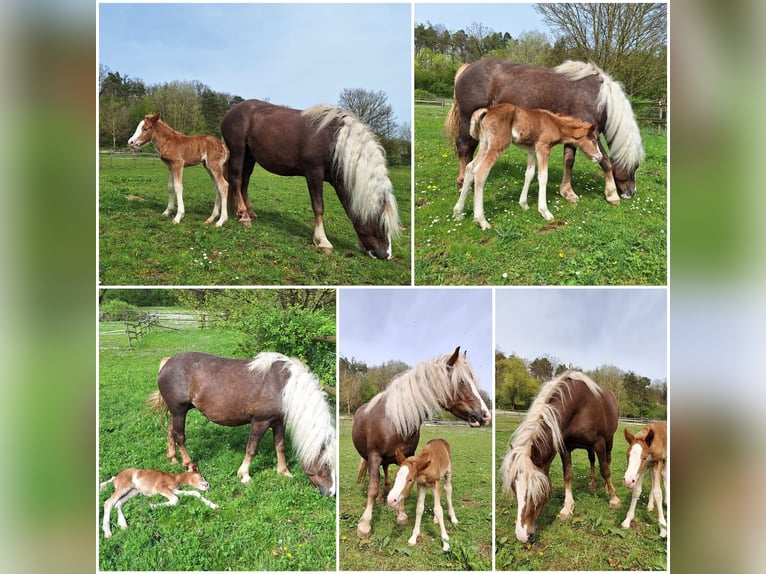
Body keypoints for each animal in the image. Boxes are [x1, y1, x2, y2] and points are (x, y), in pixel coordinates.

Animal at [148, 354, 338, 498]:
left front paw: (284, 472)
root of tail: (167, 362)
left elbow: (280, 446)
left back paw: (172, 458)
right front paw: (244, 475)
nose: (331, 493)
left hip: (178, 411)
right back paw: (187, 463)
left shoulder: (279, 421)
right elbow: (252, 448)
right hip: (179, 410)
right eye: (325, 466)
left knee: (171, 431)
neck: (283, 386)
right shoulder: (260, 422)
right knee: (180, 436)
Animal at [220, 100, 402, 260]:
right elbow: (318, 206)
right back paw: (244, 215)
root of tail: (231, 111)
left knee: (244, 183)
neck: (334, 141)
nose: (386, 255)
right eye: (381, 224)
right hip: (238, 152)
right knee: (236, 180)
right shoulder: (314, 173)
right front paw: (322, 241)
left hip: (250, 157)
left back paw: (249, 212)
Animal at [352, 348, 488, 544]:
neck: (395, 421)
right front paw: (364, 524)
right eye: (462, 381)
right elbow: (372, 488)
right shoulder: (374, 456)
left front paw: (401, 514)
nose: (485, 415)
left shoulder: (407, 455)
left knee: (385, 474)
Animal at [448, 58, 644, 205]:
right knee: (463, 147)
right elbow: (606, 162)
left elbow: (569, 161)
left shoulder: (576, 135)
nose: (631, 192)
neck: (599, 98)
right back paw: (462, 182)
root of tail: (468, 67)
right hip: (467, 120)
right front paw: (611, 195)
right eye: (633, 167)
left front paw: (567, 192)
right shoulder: (592, 134)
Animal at [500, 374, 620, 544]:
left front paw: (614, 499)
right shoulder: (565, 447)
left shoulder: (599, 443)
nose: (523, 536)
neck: (578, 406)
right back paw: (592, 482)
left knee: (607, 461)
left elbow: (605, 470)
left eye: (538, 490)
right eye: (514, 487)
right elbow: (568, 475)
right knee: (591, 460)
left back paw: (606, 487)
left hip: (609, 440)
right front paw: (567, 508)